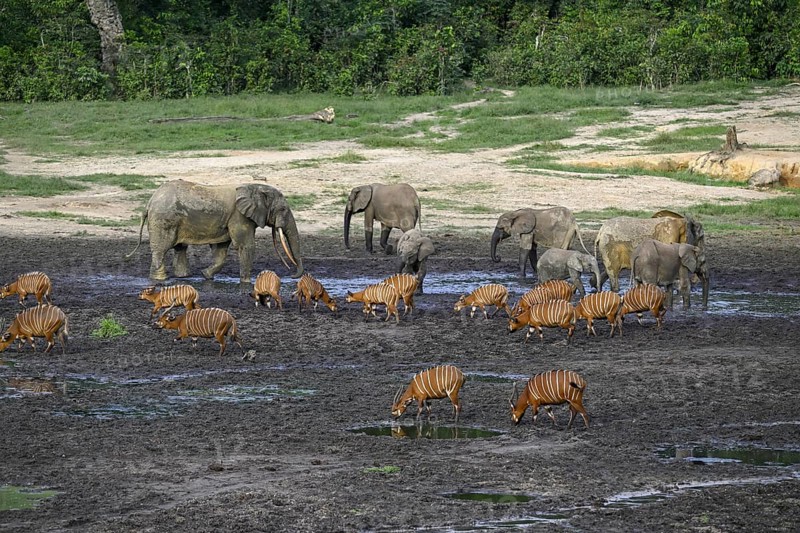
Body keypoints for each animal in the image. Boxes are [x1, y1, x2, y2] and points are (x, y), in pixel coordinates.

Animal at [127, 180, 303, 283]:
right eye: (283, 209)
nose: (291, 275)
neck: (253, 187)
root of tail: (149, 202)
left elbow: (221, 250)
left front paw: (206, 275)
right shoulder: (239, 216)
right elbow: (245, 246)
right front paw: (247, 283)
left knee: (180, 248)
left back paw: (183, 277)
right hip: (164, 219)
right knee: (161, 249)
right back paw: (160, 279)